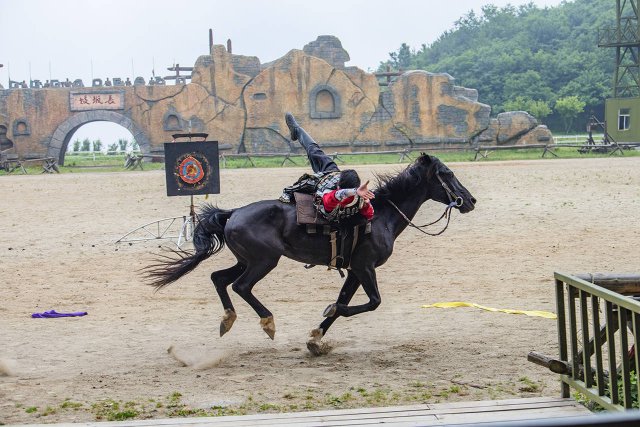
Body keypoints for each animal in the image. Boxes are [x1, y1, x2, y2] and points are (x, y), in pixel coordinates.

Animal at [145, 155, 476, 356]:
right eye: (448, 174)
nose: (470, 200)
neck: (379, 214)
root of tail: (233, 213)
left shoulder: (354, 270)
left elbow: (345, 302)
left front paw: (316, 338)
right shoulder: (366, 267)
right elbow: (369, 303)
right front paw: (326, 314)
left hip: (246, 260)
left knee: (219, 278)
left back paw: (227, 320)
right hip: (264, 261)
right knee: (240, 286)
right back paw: (268, 322)